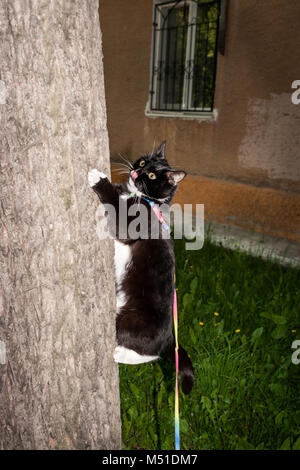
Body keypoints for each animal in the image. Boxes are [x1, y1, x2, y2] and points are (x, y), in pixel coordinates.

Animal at [88, 141, 195, 394]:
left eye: (153, 175)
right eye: (144, 162)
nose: (137, 172)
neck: (143, 199)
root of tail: (169, 338)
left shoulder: (134, 224)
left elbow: (118, 215)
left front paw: (98, 178)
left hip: (131, 321)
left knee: (148, 351)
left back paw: (118, 354)